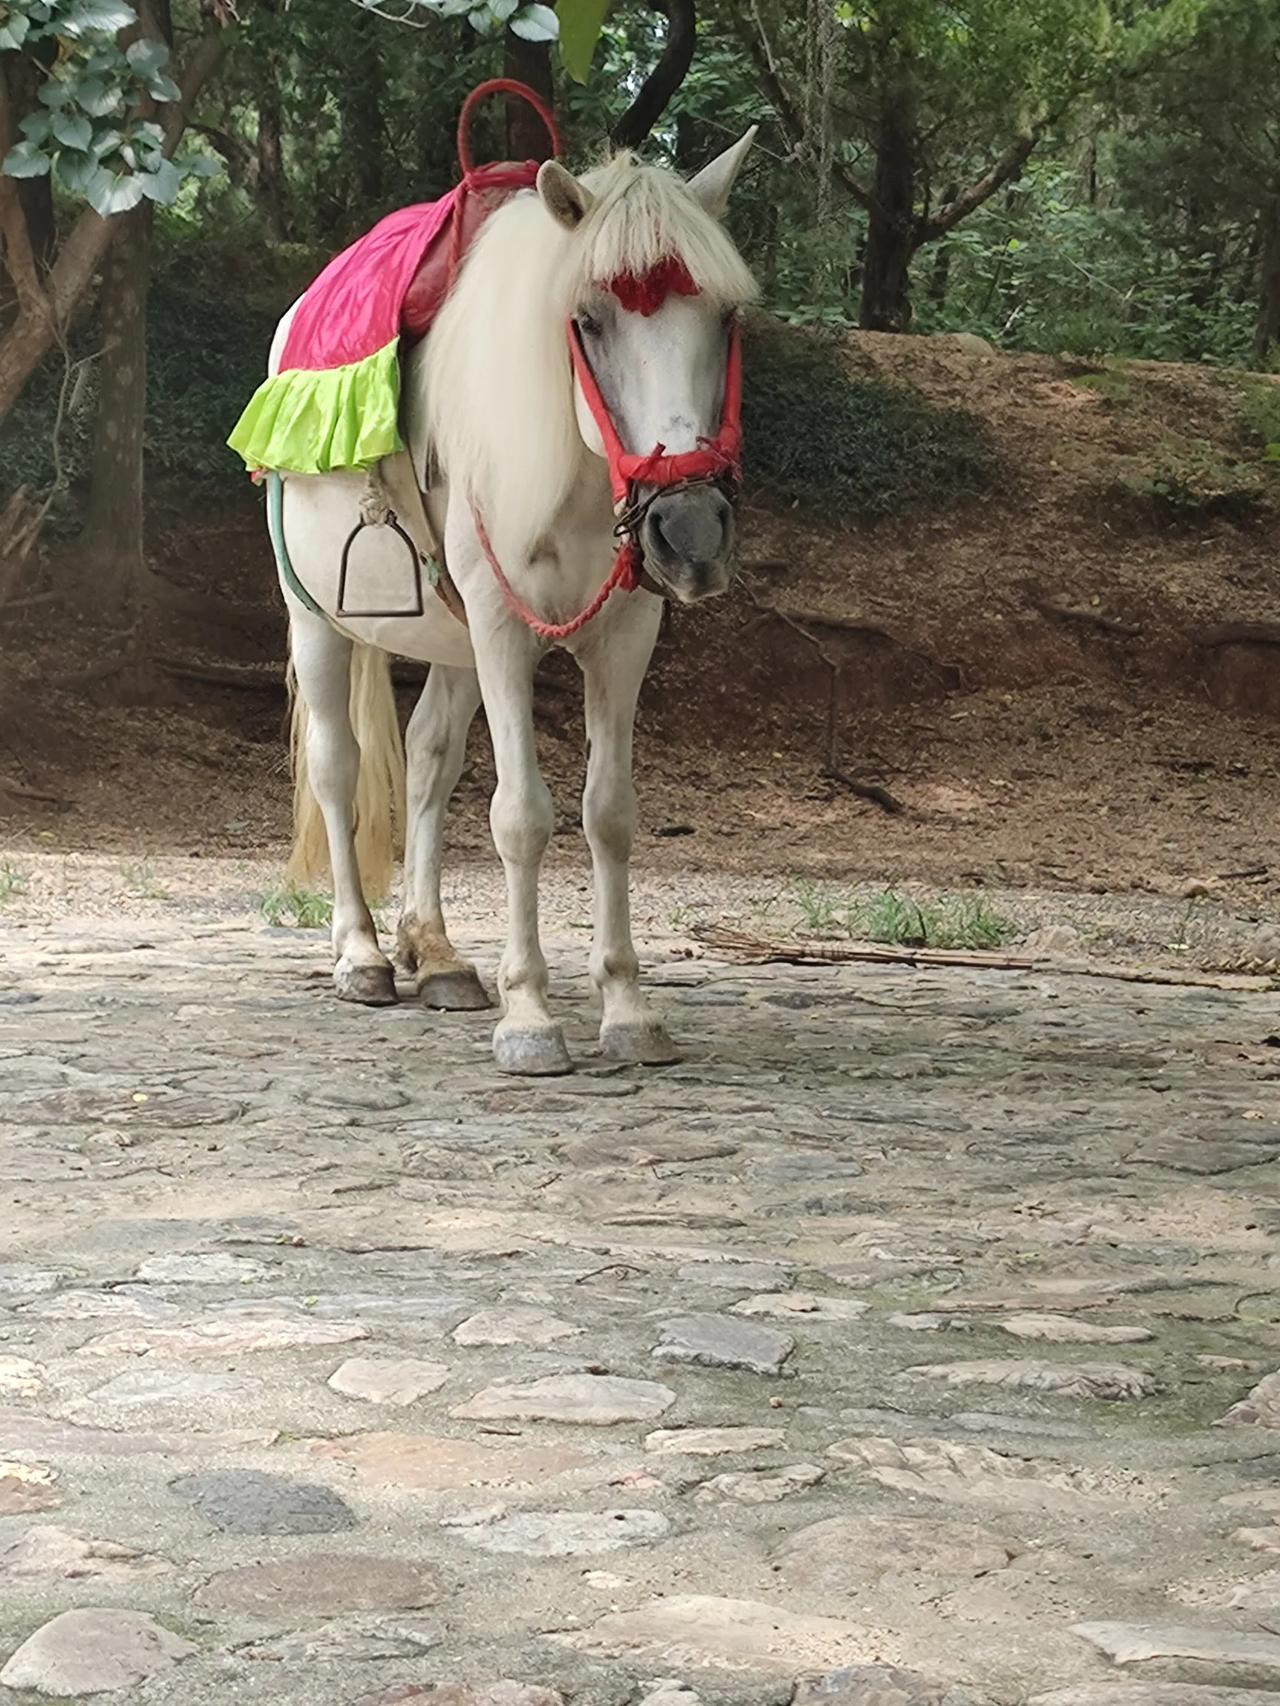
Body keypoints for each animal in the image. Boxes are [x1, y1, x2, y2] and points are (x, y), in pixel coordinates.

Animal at [266, 133, 757, 1071]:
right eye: (590, 319)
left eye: (723, 319)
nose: (689, 530)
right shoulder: (502, 632)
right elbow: (521, 816)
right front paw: (529, 1015)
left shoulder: (623, 637)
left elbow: (609, 814)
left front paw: (627, 1007)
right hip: (320, 621)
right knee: (339, 767)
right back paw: (361, 953)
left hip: (455, 643)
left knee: (428, 759)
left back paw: (436, 955)